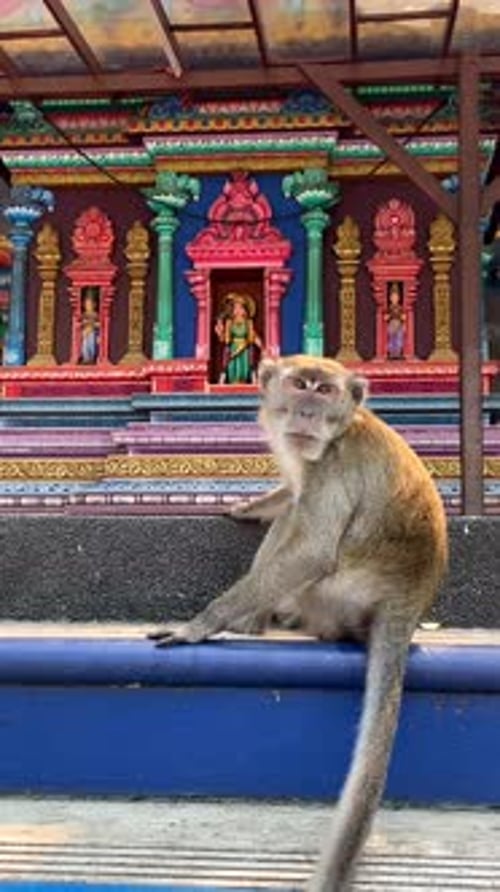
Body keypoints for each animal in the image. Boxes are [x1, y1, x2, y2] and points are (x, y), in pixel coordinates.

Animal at [149, 354, 448, 892]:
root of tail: (407, 603)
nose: (308, 410)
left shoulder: (333, 465)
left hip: (337, 596)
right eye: (300, 384)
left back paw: (252, 621)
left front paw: (200, 623)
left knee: (300, 528)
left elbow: (312, 548)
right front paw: (246, 506)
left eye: (324, 390)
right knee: (293, 509)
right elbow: (289, 491)